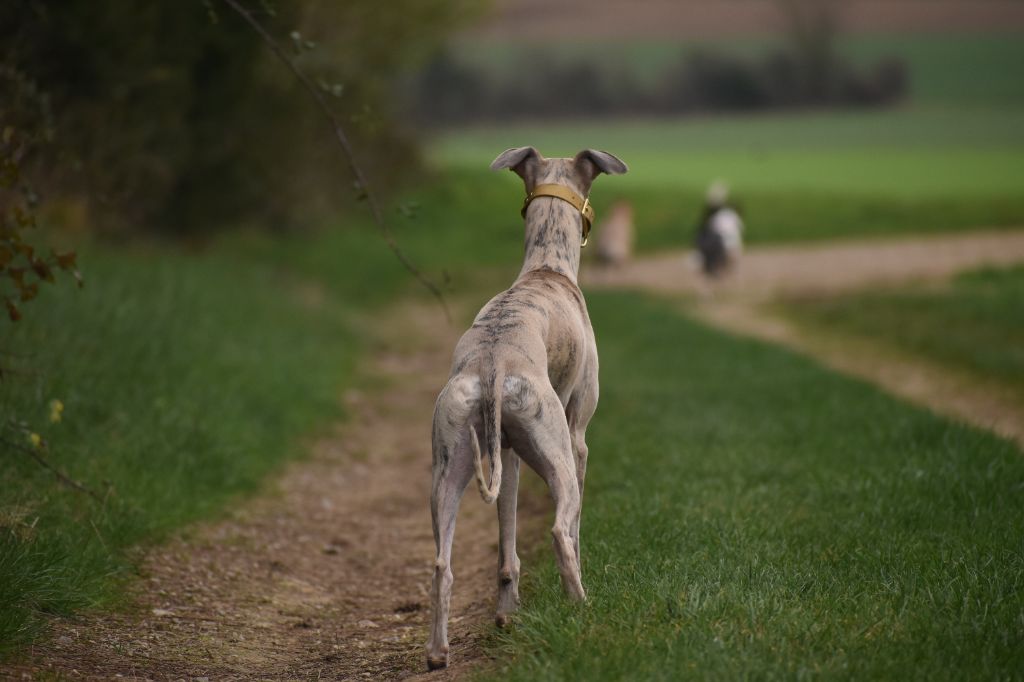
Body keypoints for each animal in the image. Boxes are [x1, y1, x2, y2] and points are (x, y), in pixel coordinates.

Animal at [421, 146, 622, 667]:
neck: (546, 269)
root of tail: (492, 364)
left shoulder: (507, 454)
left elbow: (506, 541)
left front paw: (505, 612)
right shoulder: (577, 437)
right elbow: (575, 529)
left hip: (453, 463)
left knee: (442, 563)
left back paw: (438, 652)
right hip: (557, 453)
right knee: (559, 531)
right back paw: (582, 607)